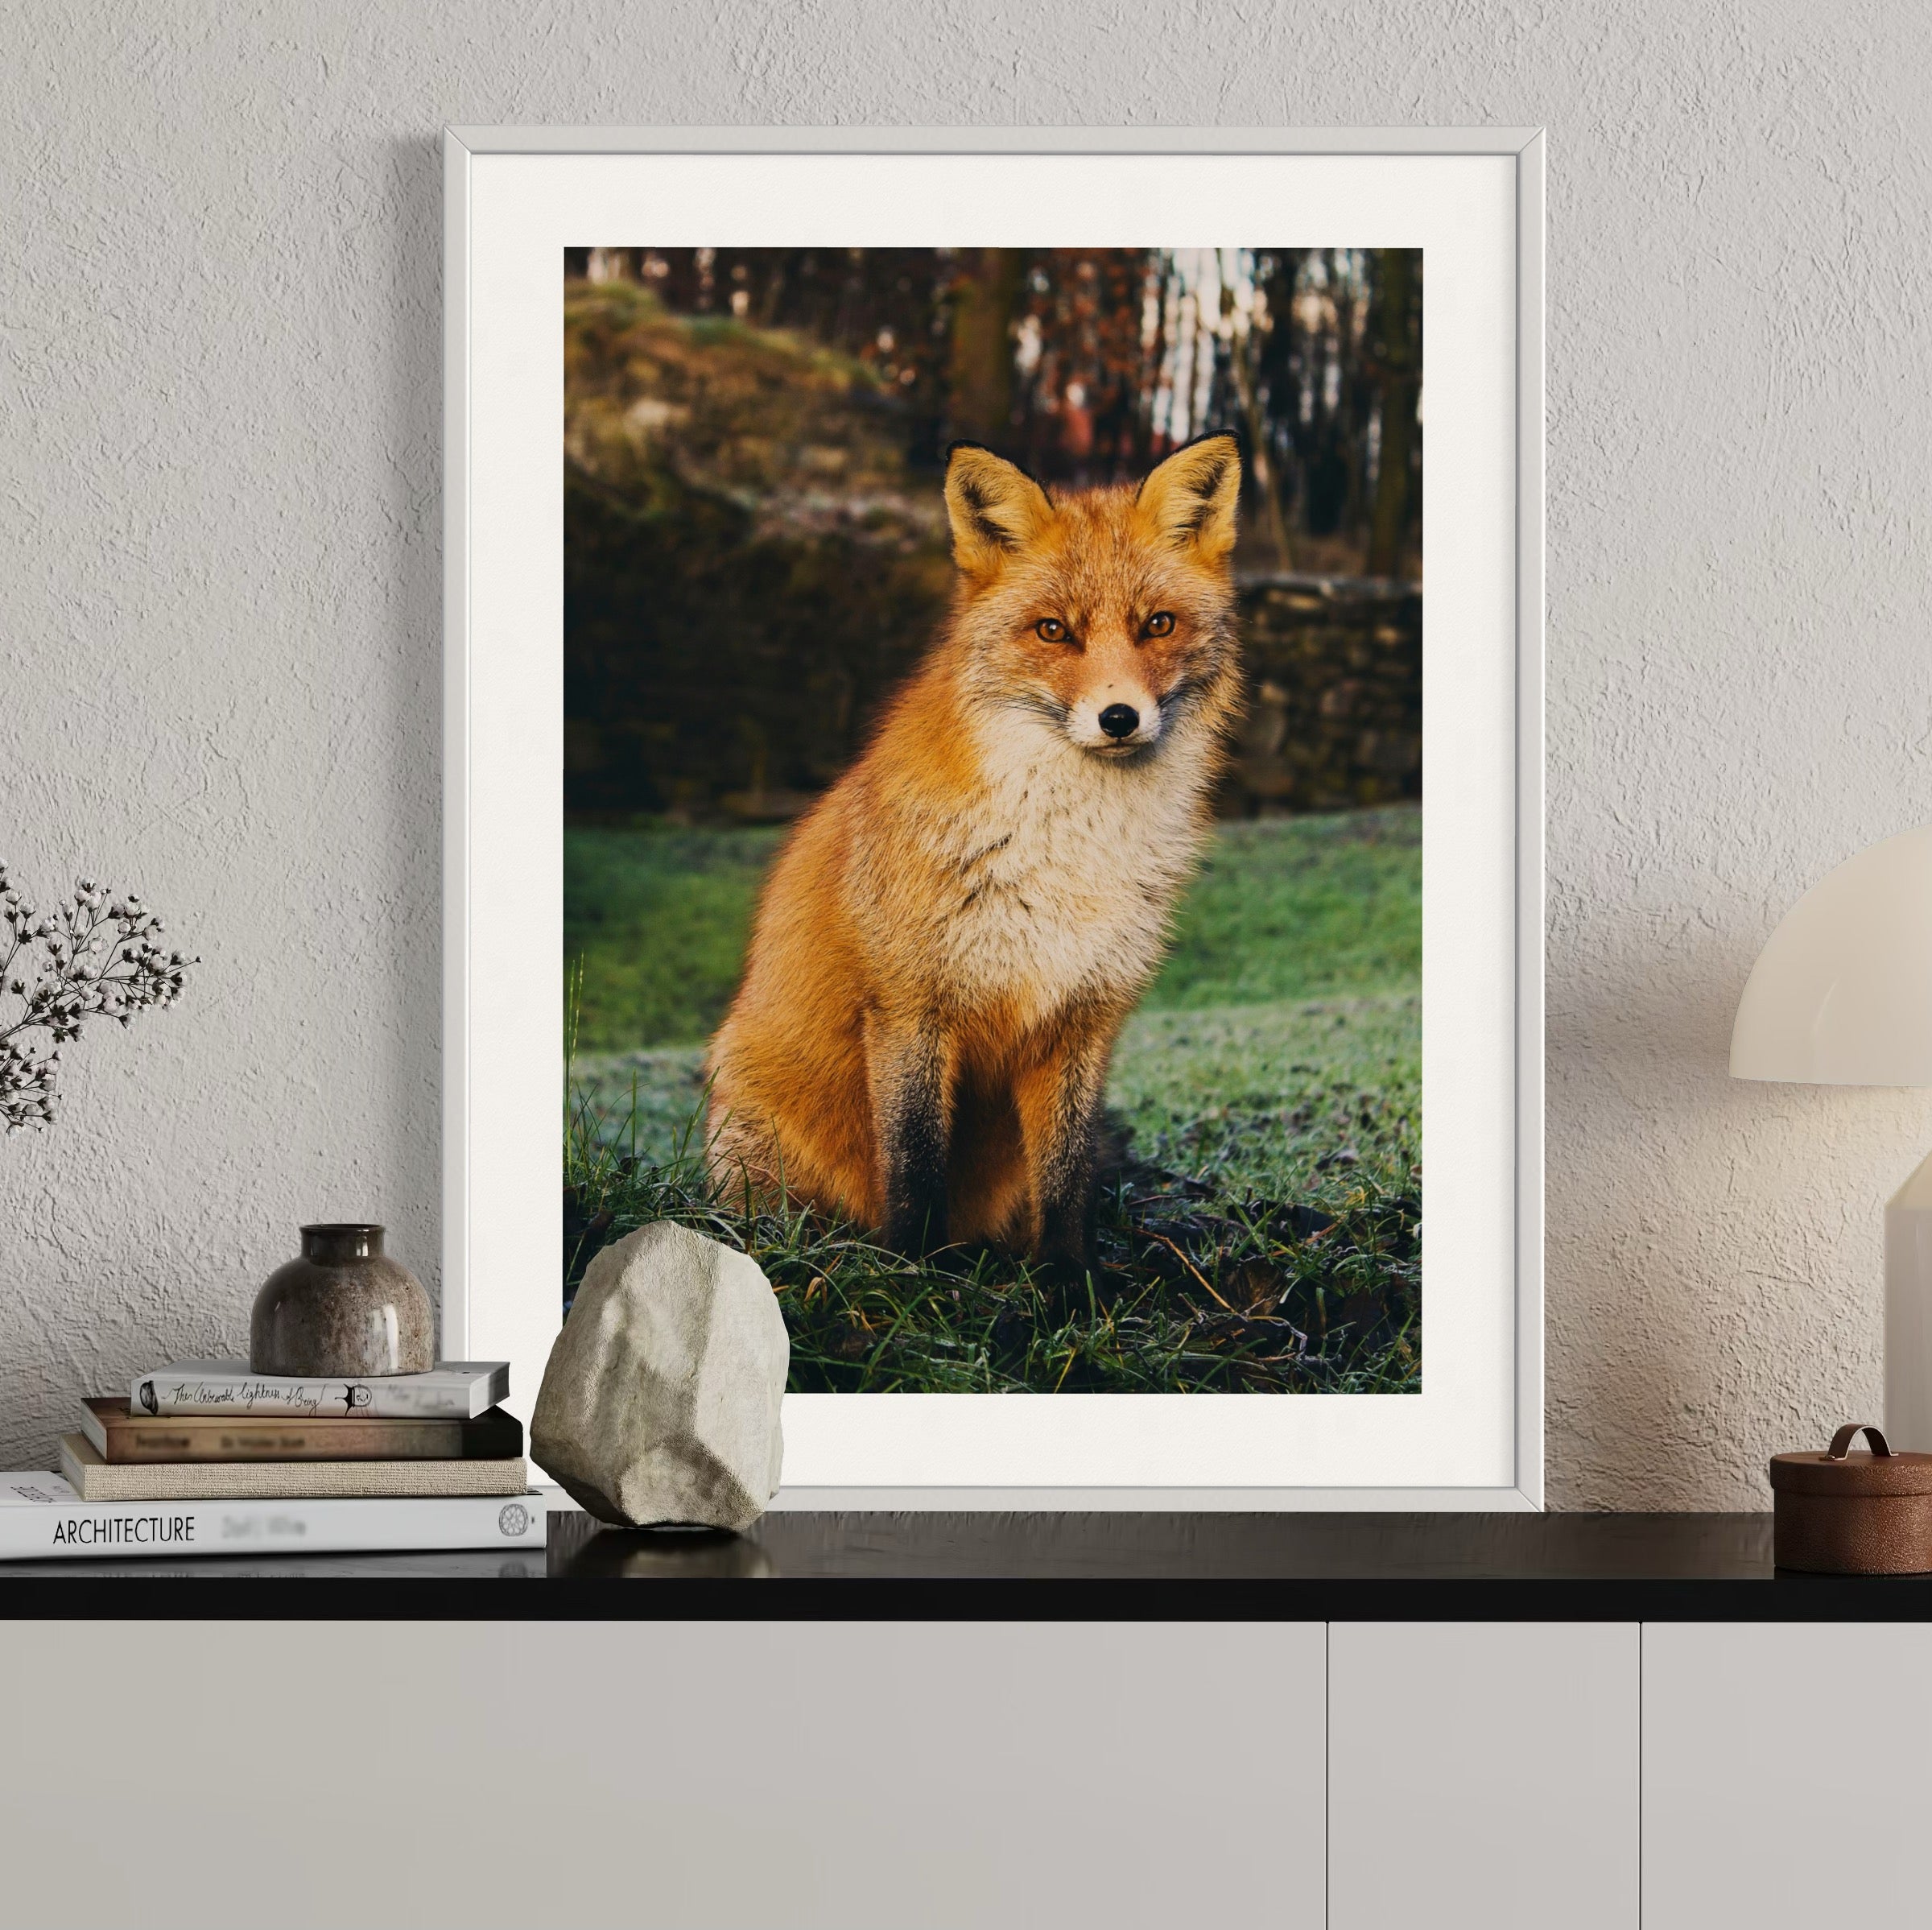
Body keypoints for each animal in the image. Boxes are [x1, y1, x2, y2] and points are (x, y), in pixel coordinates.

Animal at [705, 433, 1245, 1271]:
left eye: (1158, 624)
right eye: (1053, 630)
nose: (1119, 717)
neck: (1068, 853)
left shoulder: (1083, 1019)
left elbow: (1067, 1177)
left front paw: (1069, 1282)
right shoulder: (910, 1008)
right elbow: (915, 1164)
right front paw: (914, 1274)